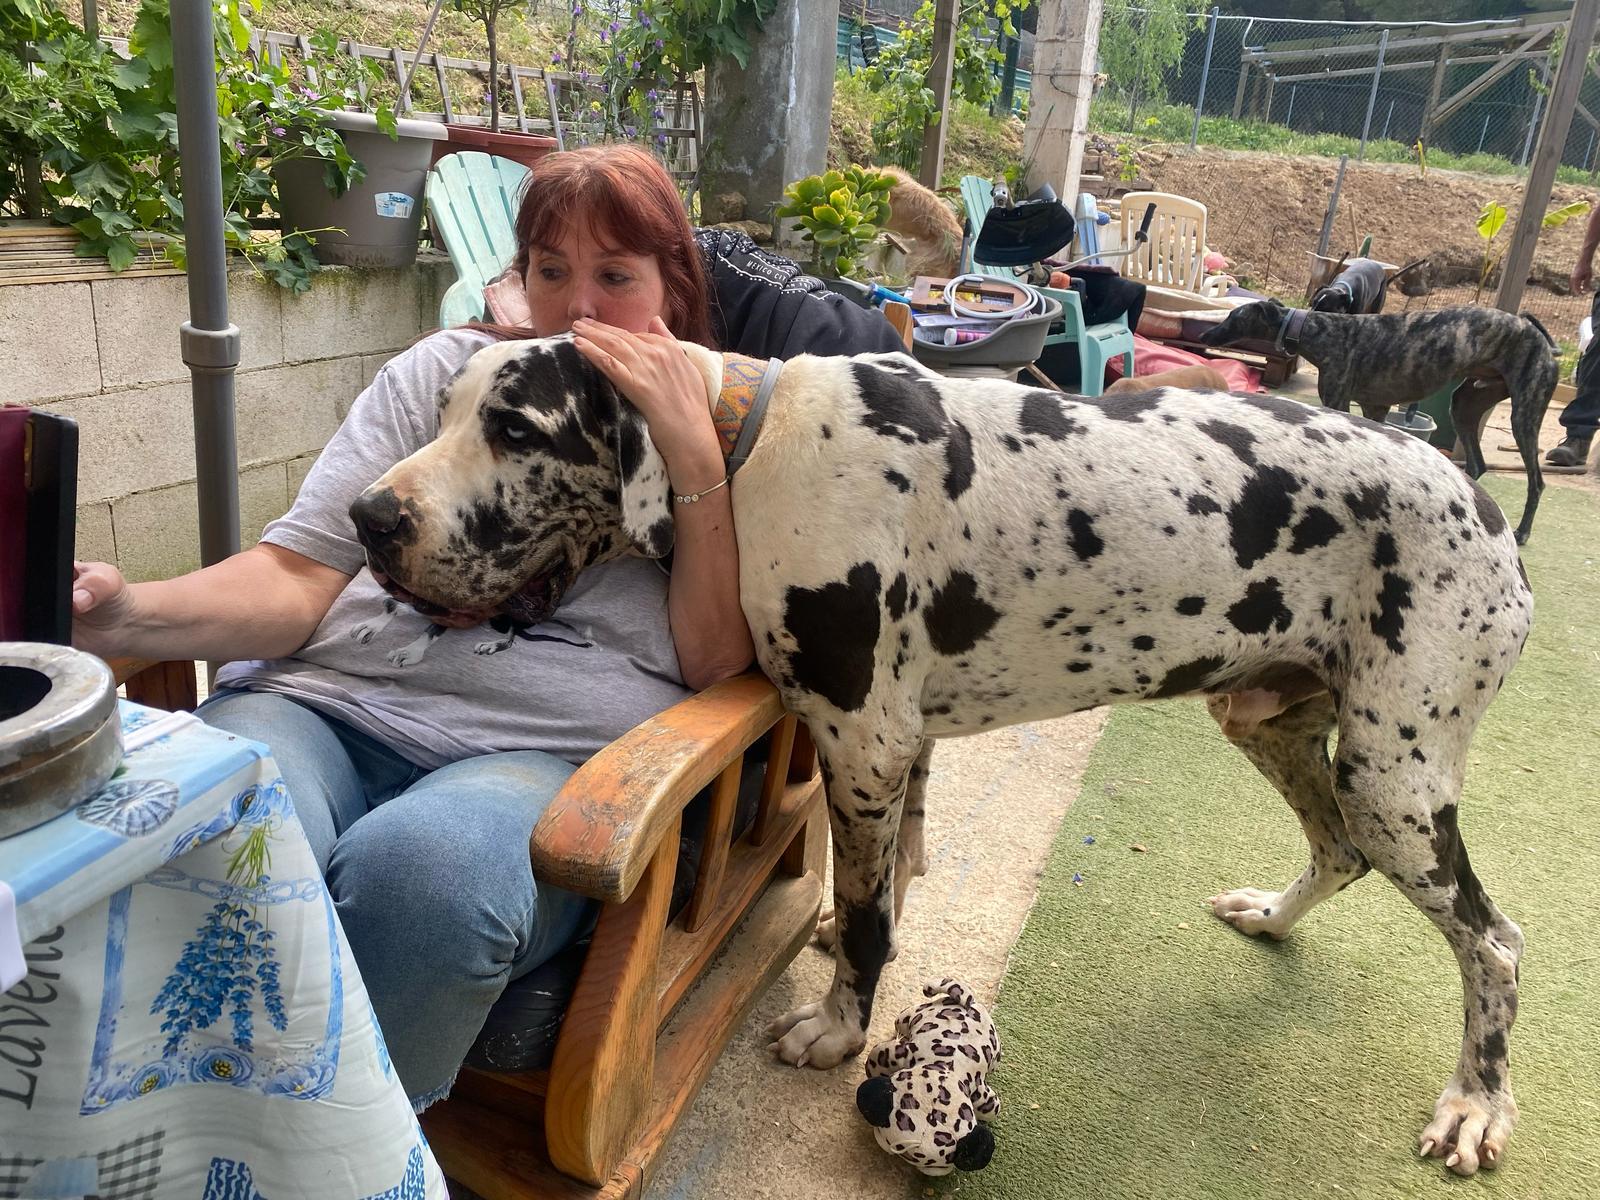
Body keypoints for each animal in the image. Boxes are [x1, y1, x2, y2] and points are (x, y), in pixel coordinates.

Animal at [350, 336, 1533, 1177]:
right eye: (446, 411)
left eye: (515, 427)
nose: (370, 515)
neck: (747, 445)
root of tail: (1480, 501)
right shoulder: (901, 744)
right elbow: (892, 876)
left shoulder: (862, 739)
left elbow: (872, 913)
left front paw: (838, 1030)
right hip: (1276, 725)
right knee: (1338, 852)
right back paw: (1272, 918)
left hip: (1393, 779)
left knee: (1496, 943)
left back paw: (1475, 1103)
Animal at [1201, 299, 1558, 544]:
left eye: (1233, 316)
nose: (1205, 333)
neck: (1316, 328)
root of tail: (1535, 332)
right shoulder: (1377, 409)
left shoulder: (1339, 401)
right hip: (1465, 405)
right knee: (1478, 464)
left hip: (1523, 415)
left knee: (1537, 481)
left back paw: (1522, 531)